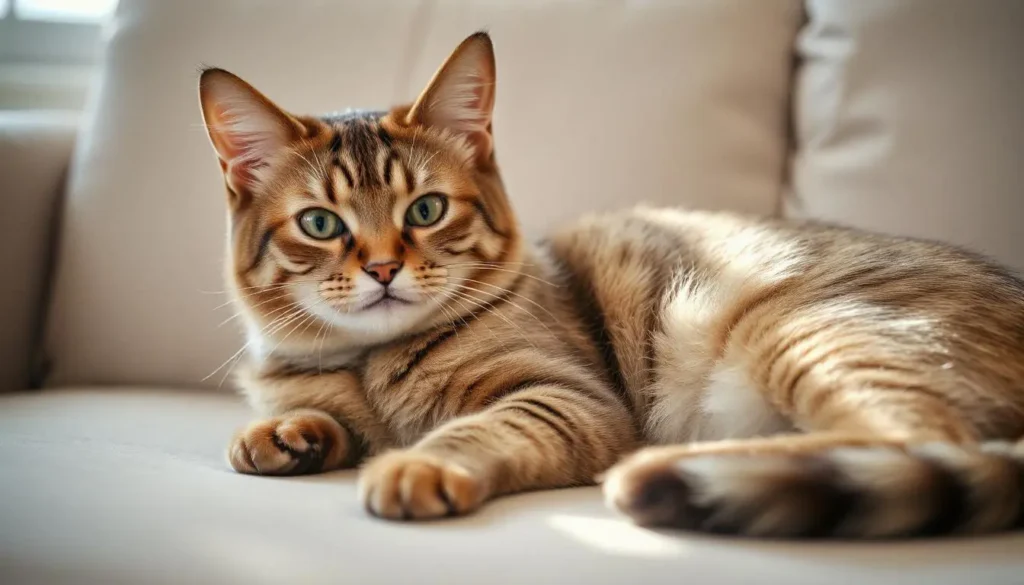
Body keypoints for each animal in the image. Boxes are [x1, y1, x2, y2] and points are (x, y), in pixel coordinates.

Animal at [197, 30, 1024, 536]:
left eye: (425, 209)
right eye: (320, 224)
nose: (380, 268)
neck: (367, 364)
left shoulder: (569, 396)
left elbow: (472, 429)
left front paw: (417, 459)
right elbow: (319, 416)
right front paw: (287, 432)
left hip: (802, 330)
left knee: (930, 440)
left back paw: (675, 470)